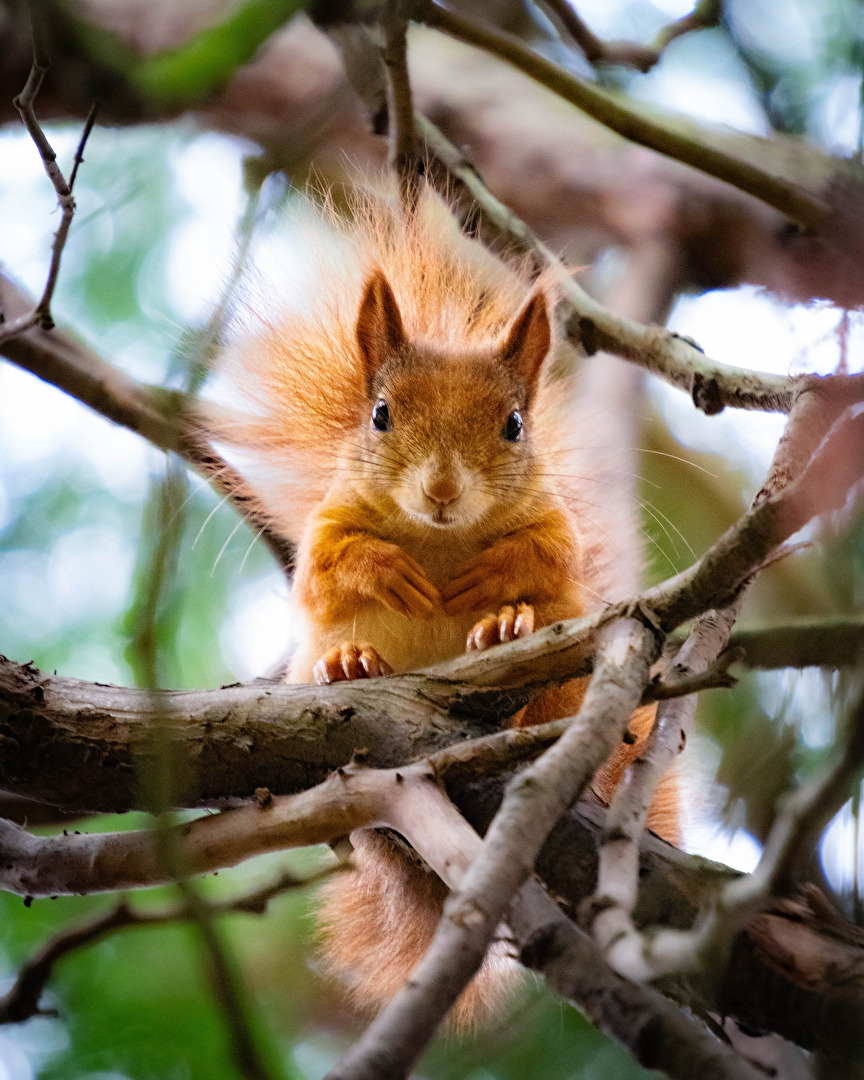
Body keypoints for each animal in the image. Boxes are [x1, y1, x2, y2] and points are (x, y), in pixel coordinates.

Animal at [212, 194, 678, 1028]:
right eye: (381, 414)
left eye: (515, 425)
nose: (441, 490)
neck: (439, 540)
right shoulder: (327, 530)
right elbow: (329, 569)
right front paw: (388, 574)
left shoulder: (555, 532)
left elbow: (542, 558)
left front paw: (496, 598)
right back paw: (349, 663)